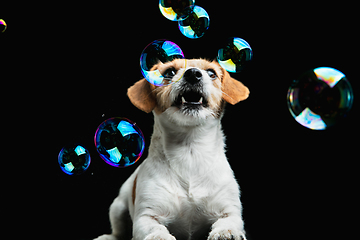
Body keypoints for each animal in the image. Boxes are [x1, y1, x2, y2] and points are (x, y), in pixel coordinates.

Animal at [94, 58, 249, 240]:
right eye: (169, 72)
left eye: (211, 73)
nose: (193, 74)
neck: (190, 153)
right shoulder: (146, 216)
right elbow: (153, 227)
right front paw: (159, 236)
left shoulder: (229, 210)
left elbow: (228, 221)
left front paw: (226, 231)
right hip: (117, 207)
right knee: (119, 231)